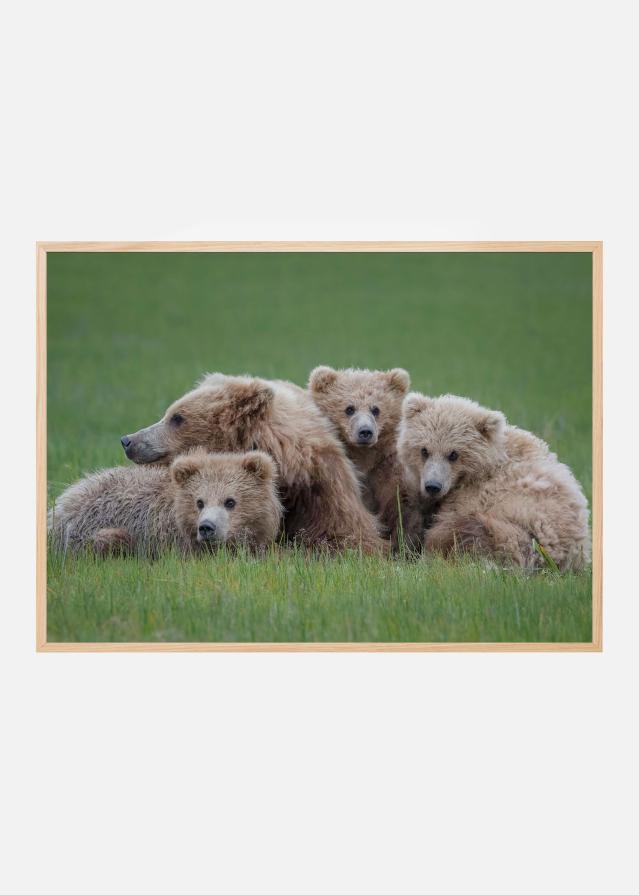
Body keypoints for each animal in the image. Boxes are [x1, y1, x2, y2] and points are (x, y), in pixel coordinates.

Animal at [308, 366, 423, 549]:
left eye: (376, 409)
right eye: (349, 408)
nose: (365, 432)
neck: (364, 457)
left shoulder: (386, 466)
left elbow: (400, 504)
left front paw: (402, 543)